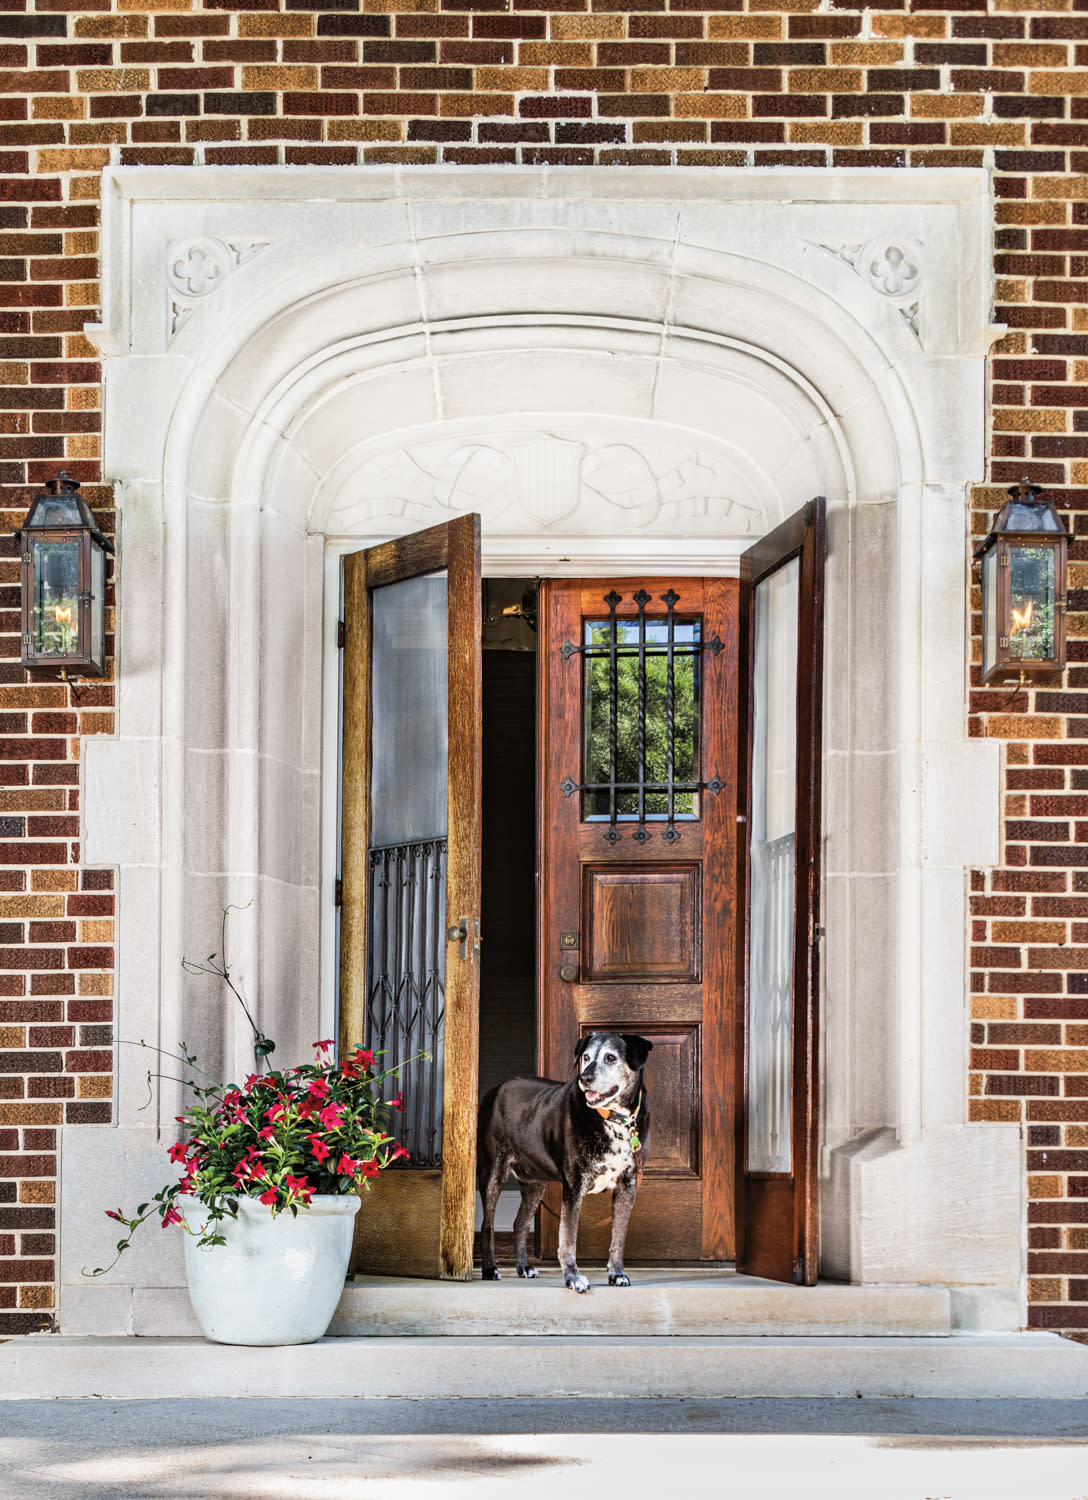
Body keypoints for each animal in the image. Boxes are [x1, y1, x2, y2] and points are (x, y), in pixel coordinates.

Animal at [477, 1032, 648, 1290]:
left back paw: (523, 1267)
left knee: (520, 1223)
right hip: (492, 1172)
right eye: (586, 1057)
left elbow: (618, 1238)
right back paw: (490, 1269)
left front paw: (617, 1273)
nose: (585, 1078)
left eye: (611, 1057)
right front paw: (573, 1278)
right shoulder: (574, 1187)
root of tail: (495, 1090)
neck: (613, 1119)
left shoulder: (627, 1187)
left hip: (535, 1182)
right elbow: (568, 1239)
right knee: (487, 1225)